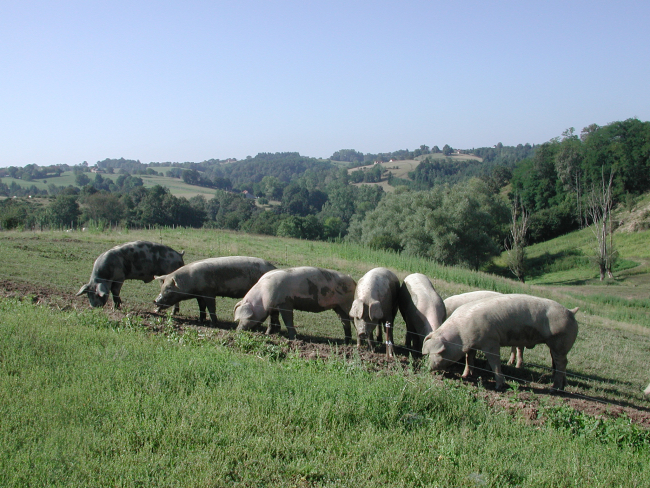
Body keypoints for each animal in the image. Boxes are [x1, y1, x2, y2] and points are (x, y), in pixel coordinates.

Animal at [420, 294, 576, 392]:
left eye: (439, 352)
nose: (427, 367)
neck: (460, 334)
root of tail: (571, 311)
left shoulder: (491, 341)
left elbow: (495, 361)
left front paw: (499, 386)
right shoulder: (471, 345)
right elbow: (469, 359)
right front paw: (466, 375)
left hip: (560, 341)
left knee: (561, 363)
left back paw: (553, 389)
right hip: (557, 345)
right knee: (562, 363)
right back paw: (562, 386)